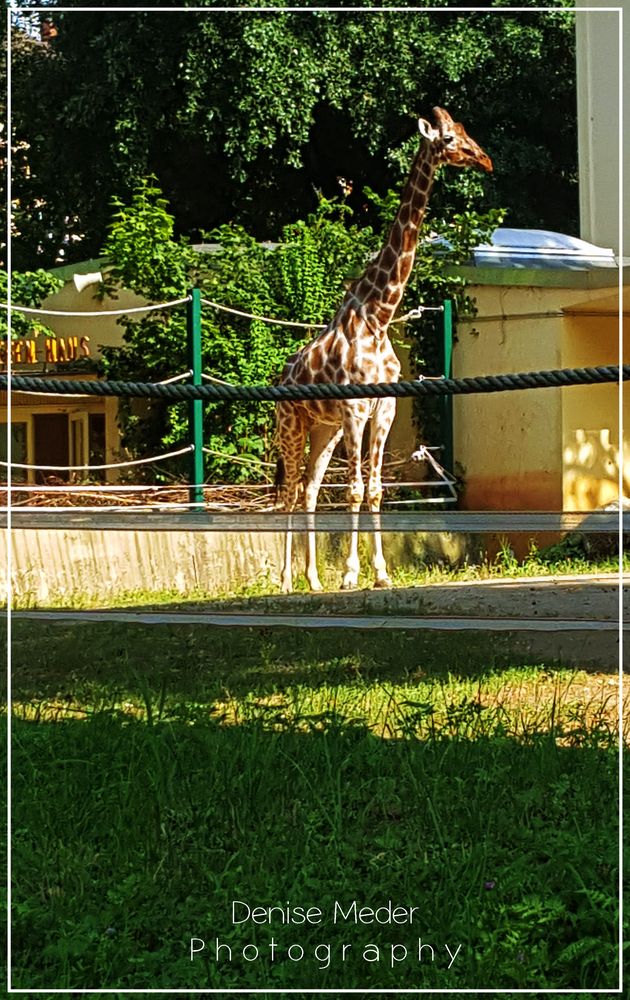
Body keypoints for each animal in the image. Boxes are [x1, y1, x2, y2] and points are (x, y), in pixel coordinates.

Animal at [276, 107, 494, 592]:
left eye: (466, 132)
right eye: (449, 139)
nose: (485, 160)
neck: (378, 316)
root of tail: (279, 379)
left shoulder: (385, 407)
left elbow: (376, 489)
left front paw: (380, 574)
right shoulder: (356, 409)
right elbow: (356, 489)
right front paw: (350, 574)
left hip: (324, 430)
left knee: (310, 489)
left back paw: (312, 580)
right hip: (291, 426)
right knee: (288, 492)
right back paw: (284, 581)